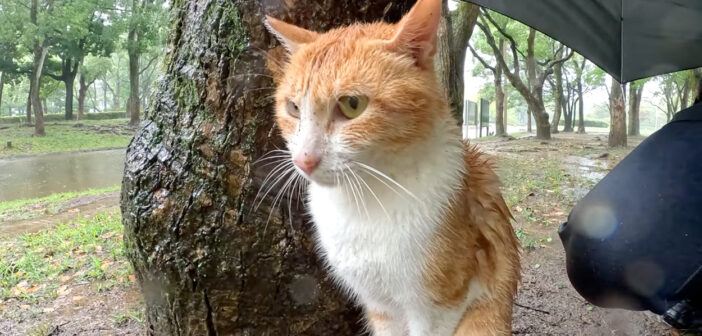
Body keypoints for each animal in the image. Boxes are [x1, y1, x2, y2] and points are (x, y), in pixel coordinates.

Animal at [264, 1, 524, 334]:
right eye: (294, 108)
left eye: (352, 105)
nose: (303, 160)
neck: (366, 202)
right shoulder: (380, 308)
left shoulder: (439, 307)